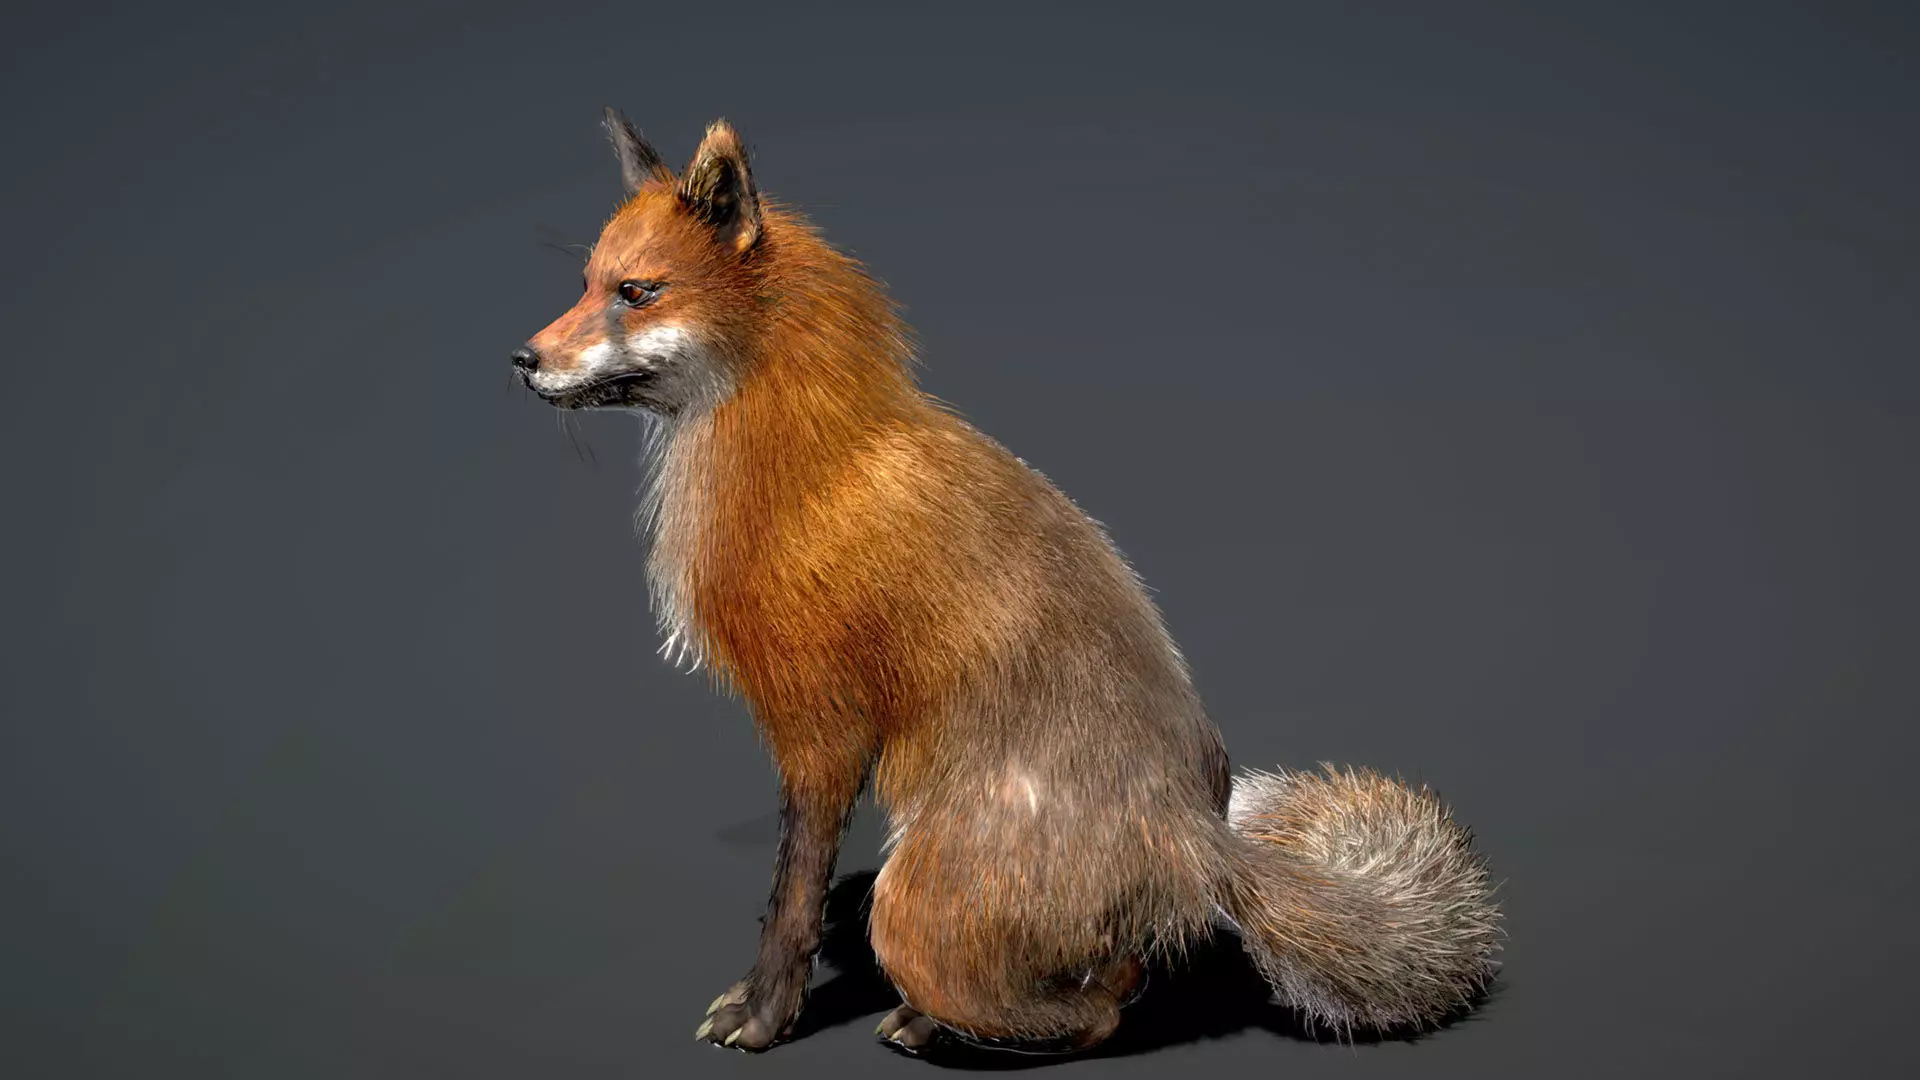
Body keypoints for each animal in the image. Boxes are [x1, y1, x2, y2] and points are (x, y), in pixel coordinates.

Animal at [513, 109, 1501, 1056]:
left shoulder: (821, 734)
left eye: (637, 292)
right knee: (1125, 973)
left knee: (1101, 1011)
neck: (806, 464)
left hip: (907, 909)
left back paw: (939, 1028)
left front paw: (765, 1018)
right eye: (586, 283)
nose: (522, 359)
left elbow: (791, 904)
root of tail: (1197, 836)